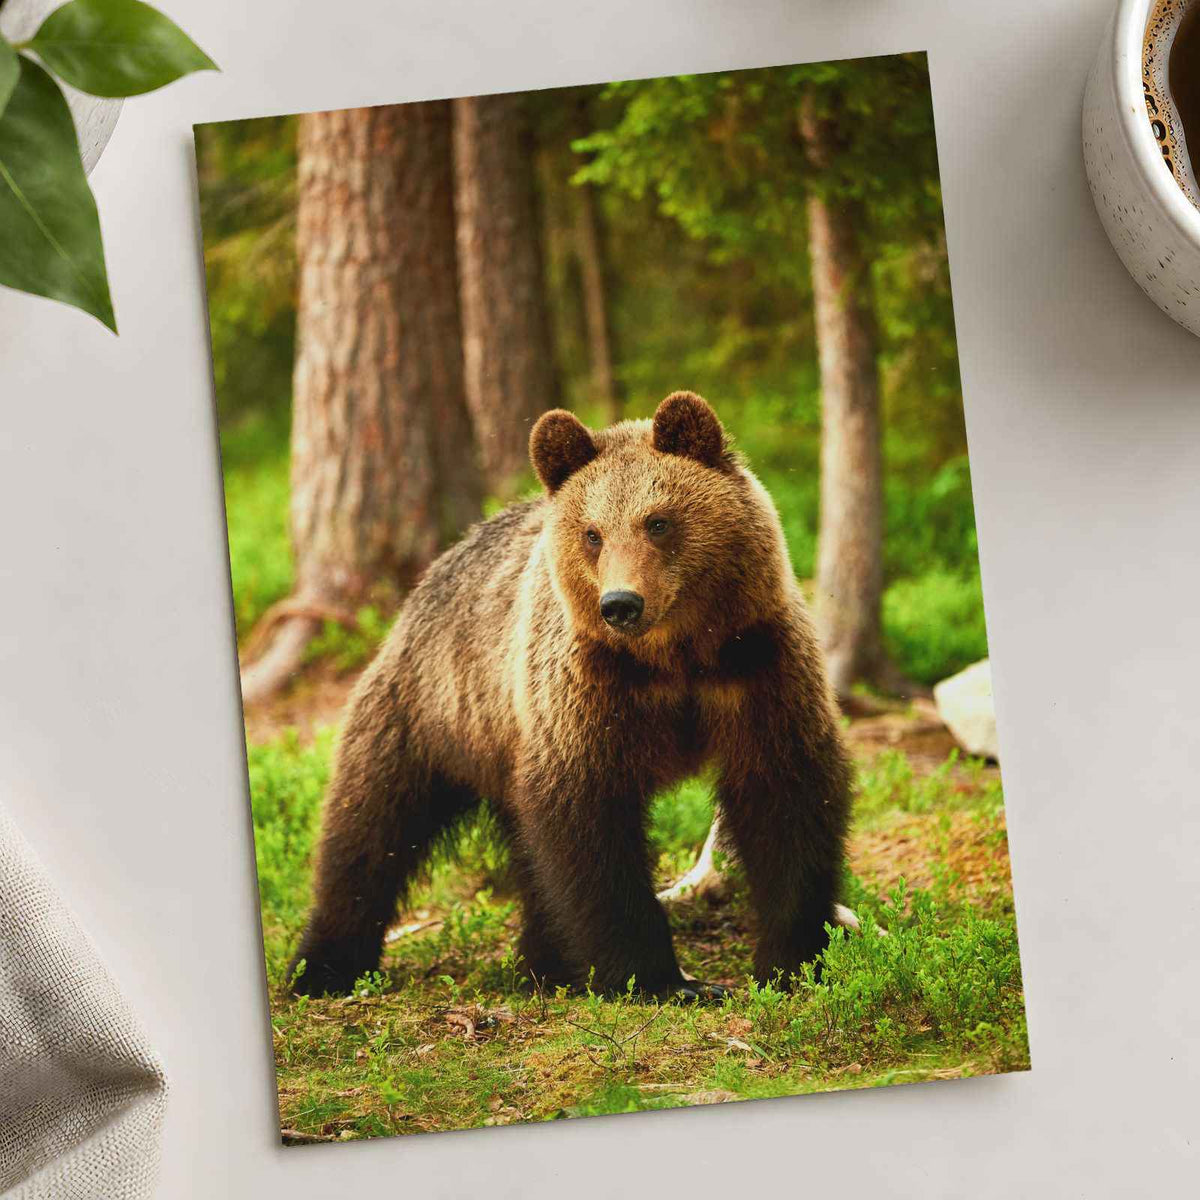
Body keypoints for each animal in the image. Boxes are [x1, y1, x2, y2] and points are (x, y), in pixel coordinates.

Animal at [289, 391, 852, 999]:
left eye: (658, 521)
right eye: (593, 533)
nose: (621, 604)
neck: (675, 657)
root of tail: (421, 585)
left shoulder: (756, 668)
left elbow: (786, 796)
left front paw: (791, 961)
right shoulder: (586, 691)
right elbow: (587, 825)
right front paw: (659, 977)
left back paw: (545, 960)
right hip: (432, 709)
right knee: (369, 828)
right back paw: (322, 966)